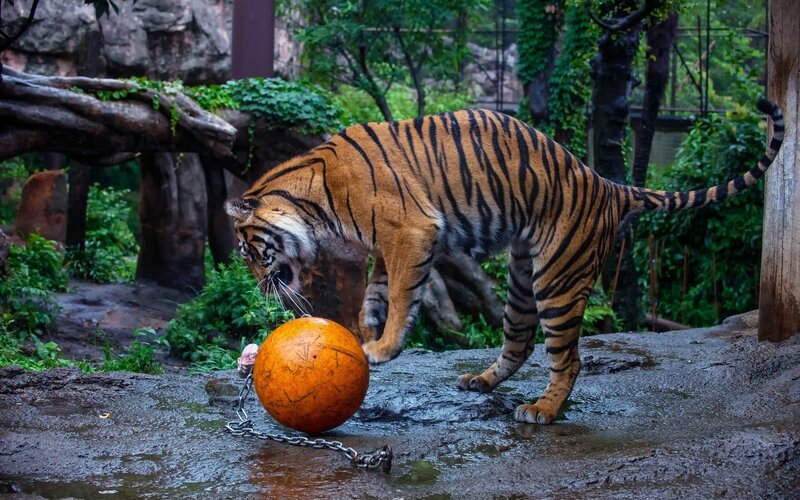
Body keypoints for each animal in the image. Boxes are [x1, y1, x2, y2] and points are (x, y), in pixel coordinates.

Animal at [225, 99, 784, 425]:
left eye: (251, 253)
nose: (260, 287)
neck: (312, 200)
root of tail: (608, 185)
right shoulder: (389, 242)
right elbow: (377, 290)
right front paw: (366, 329)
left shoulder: (410, 230)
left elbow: (404, 292)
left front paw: (382, 348)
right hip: (521, 278)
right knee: (518, 341)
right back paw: (481, 382)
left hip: (558, 280)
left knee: (568, 358)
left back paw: (542, 410)